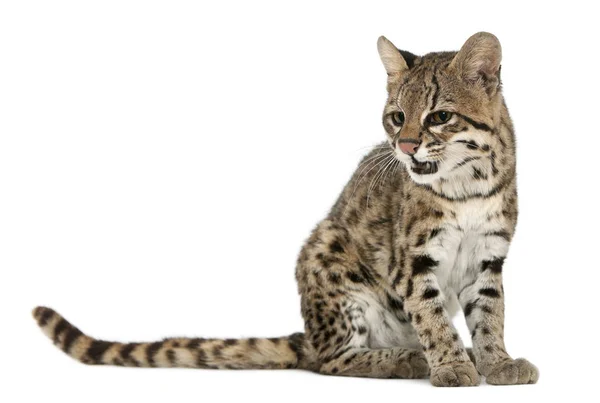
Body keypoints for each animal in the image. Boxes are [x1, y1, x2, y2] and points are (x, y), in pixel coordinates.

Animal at [34, 32, 540, 388]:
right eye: (397, 117)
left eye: (439, 117)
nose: (406, 145)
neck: (467, 188)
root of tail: (310, 334)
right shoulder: (412, 262)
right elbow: (433, 316)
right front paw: (451, 363)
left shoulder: (489, 257)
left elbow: (490, 314)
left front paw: (495, 360)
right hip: (328, 257)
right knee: (331, 360)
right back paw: (407, 357)